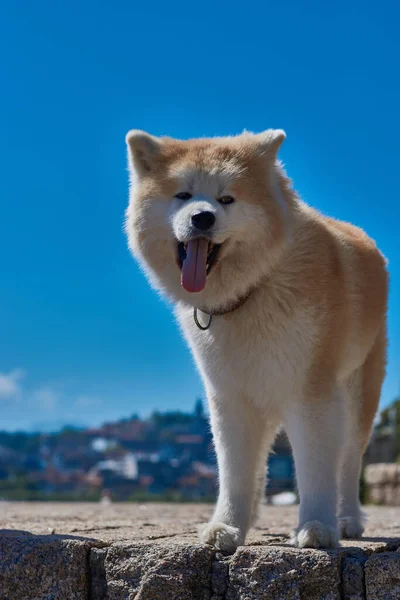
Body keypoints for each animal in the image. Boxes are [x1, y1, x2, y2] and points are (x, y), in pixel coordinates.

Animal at [125, 129, 388, 552]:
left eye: (227, 199)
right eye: (183, 195)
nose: (202, 217)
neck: (254, 288)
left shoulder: (311, 391)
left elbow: (316, 466)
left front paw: (316, 527)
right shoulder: (230, 396)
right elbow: (235, 471)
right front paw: (227, 526)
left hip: (358, 392)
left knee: (348, 462)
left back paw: (347, 520)